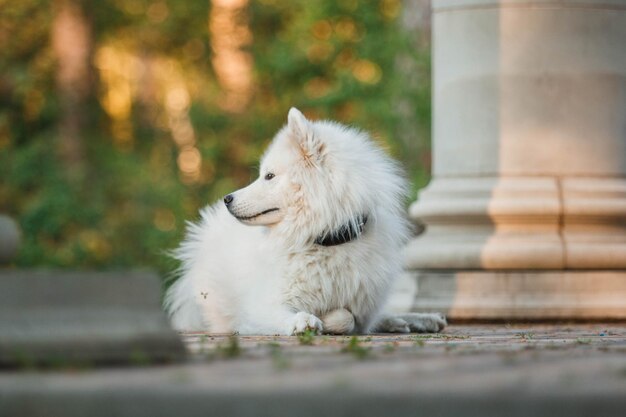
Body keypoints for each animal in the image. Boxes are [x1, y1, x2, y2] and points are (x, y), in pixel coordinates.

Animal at [163, 108, 442, 334]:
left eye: (269, 176)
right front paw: (305, 320)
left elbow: (349, 317)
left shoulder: (363, 307)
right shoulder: (259, 308)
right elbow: (333, 316)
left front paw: (328, 319)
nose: (227, 199)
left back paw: (420, 319)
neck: (323, 240)